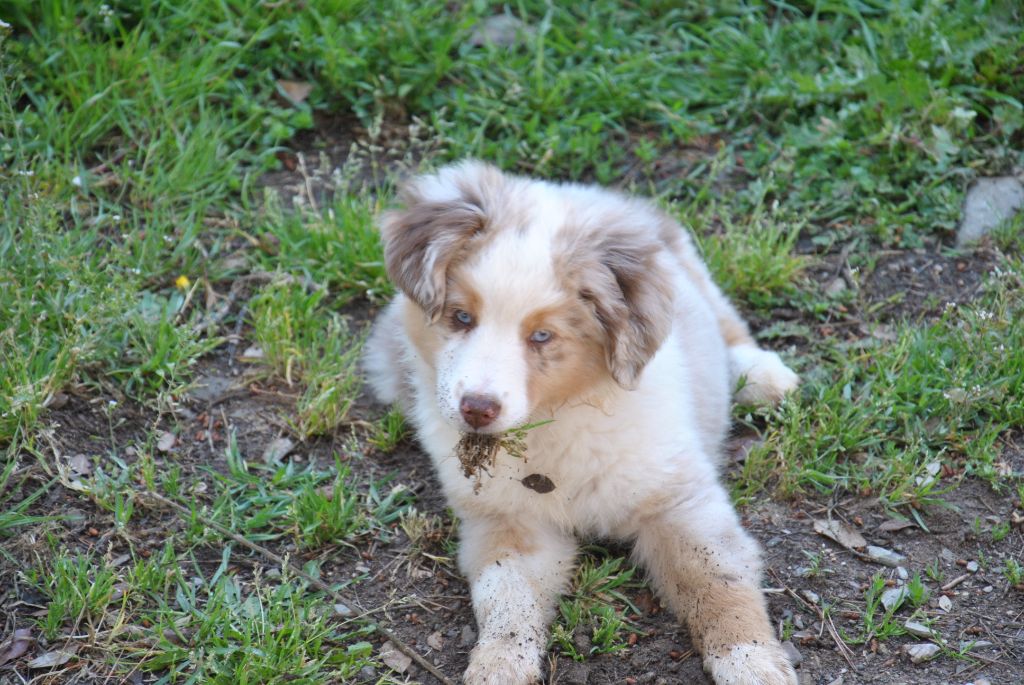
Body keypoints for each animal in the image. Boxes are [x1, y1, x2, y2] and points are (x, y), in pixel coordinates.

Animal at [364, 161, 802, 683]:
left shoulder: (681, 500)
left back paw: (763, 375)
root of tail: (575, 189)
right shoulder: (507, 518)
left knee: (723, 315)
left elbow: (716, 580)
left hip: (685, 261)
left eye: (542, 336)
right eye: (461, 317)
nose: (477, 408)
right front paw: (498, 665)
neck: (557, 417)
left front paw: (753, 662)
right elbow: (505, 596)